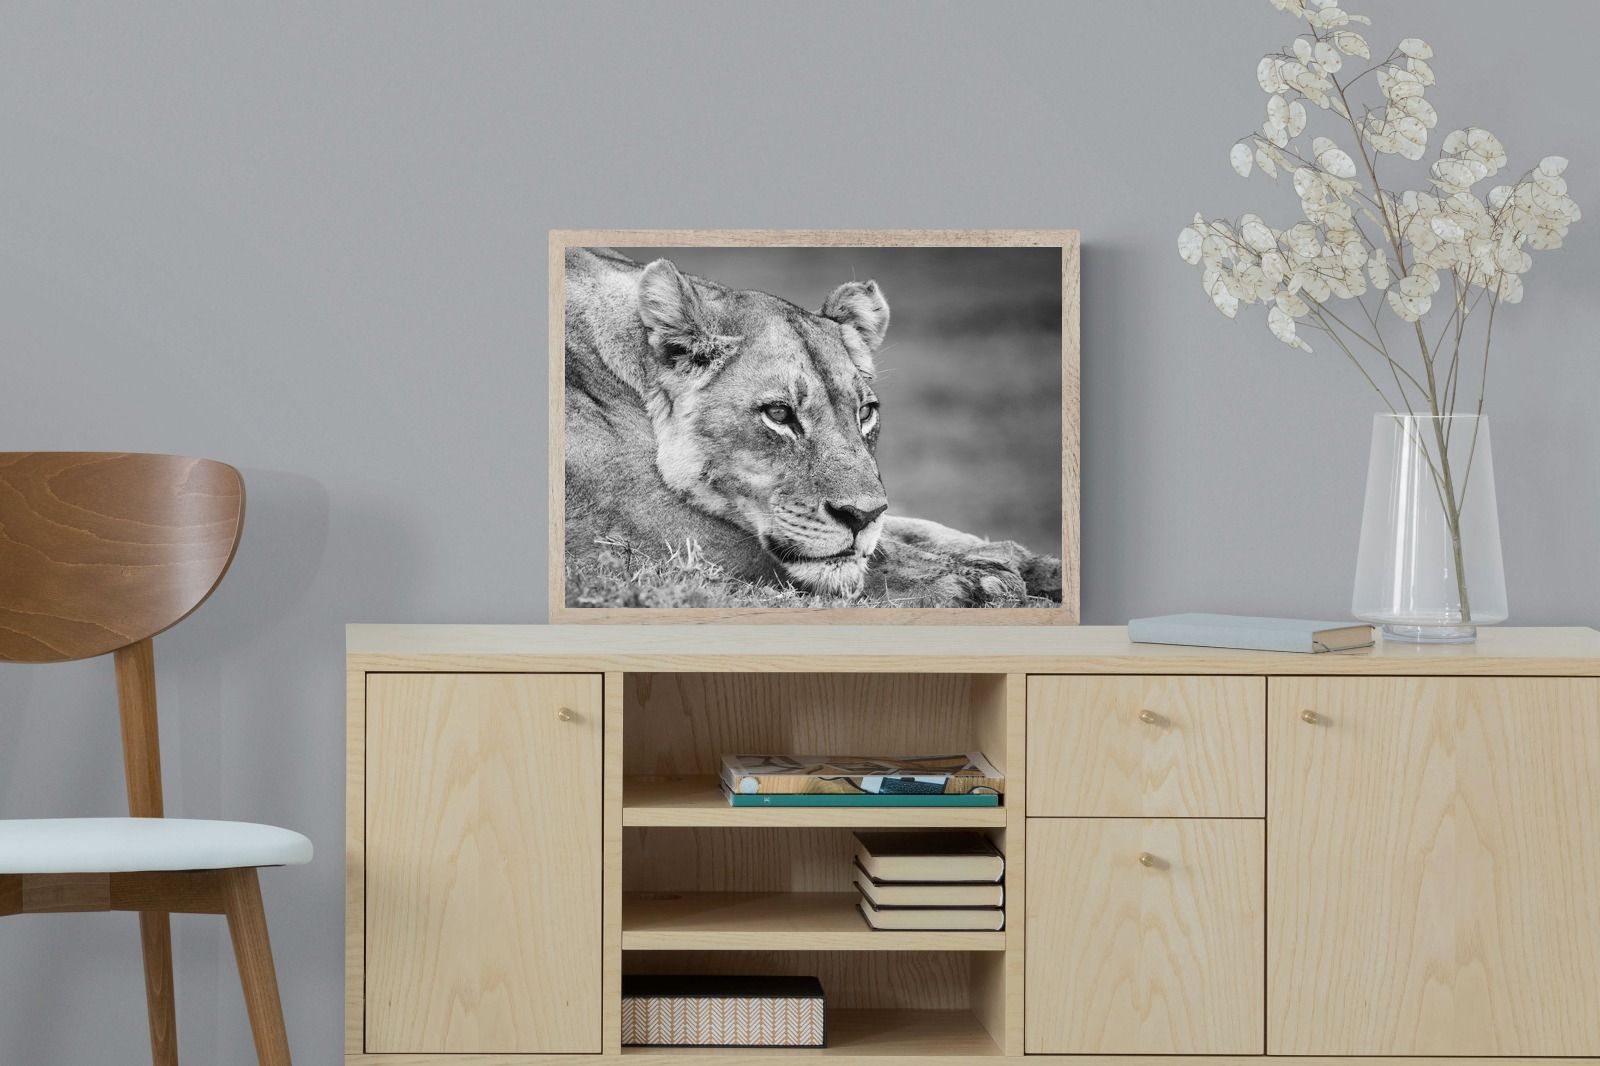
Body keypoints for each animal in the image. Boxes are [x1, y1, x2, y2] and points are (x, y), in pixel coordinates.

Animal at [562, 247, 1061, 607]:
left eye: (865, 413)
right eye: (779, 414)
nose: (860, 517)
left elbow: (909, 528)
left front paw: (1030, 564)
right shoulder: (645, 527)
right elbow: (866, 556)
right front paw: (975, 580)